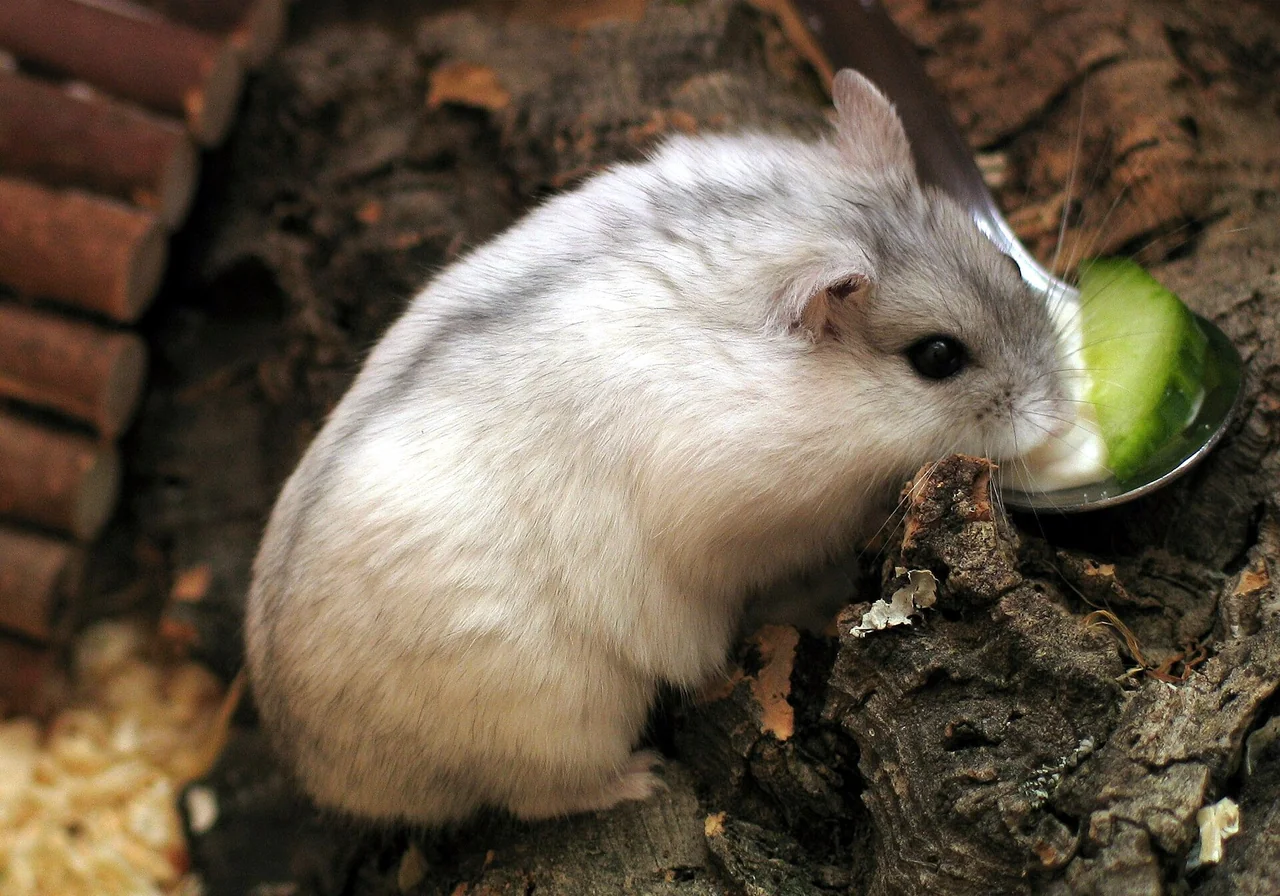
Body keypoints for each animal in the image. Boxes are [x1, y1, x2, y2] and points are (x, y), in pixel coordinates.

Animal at [245, 69, 1070, 825]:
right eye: (938, 357)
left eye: (1007, 265)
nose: (1061, 415)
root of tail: (313, 766)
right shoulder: (754, 523)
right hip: (558, 719)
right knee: (539, 796)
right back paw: (642, 779)